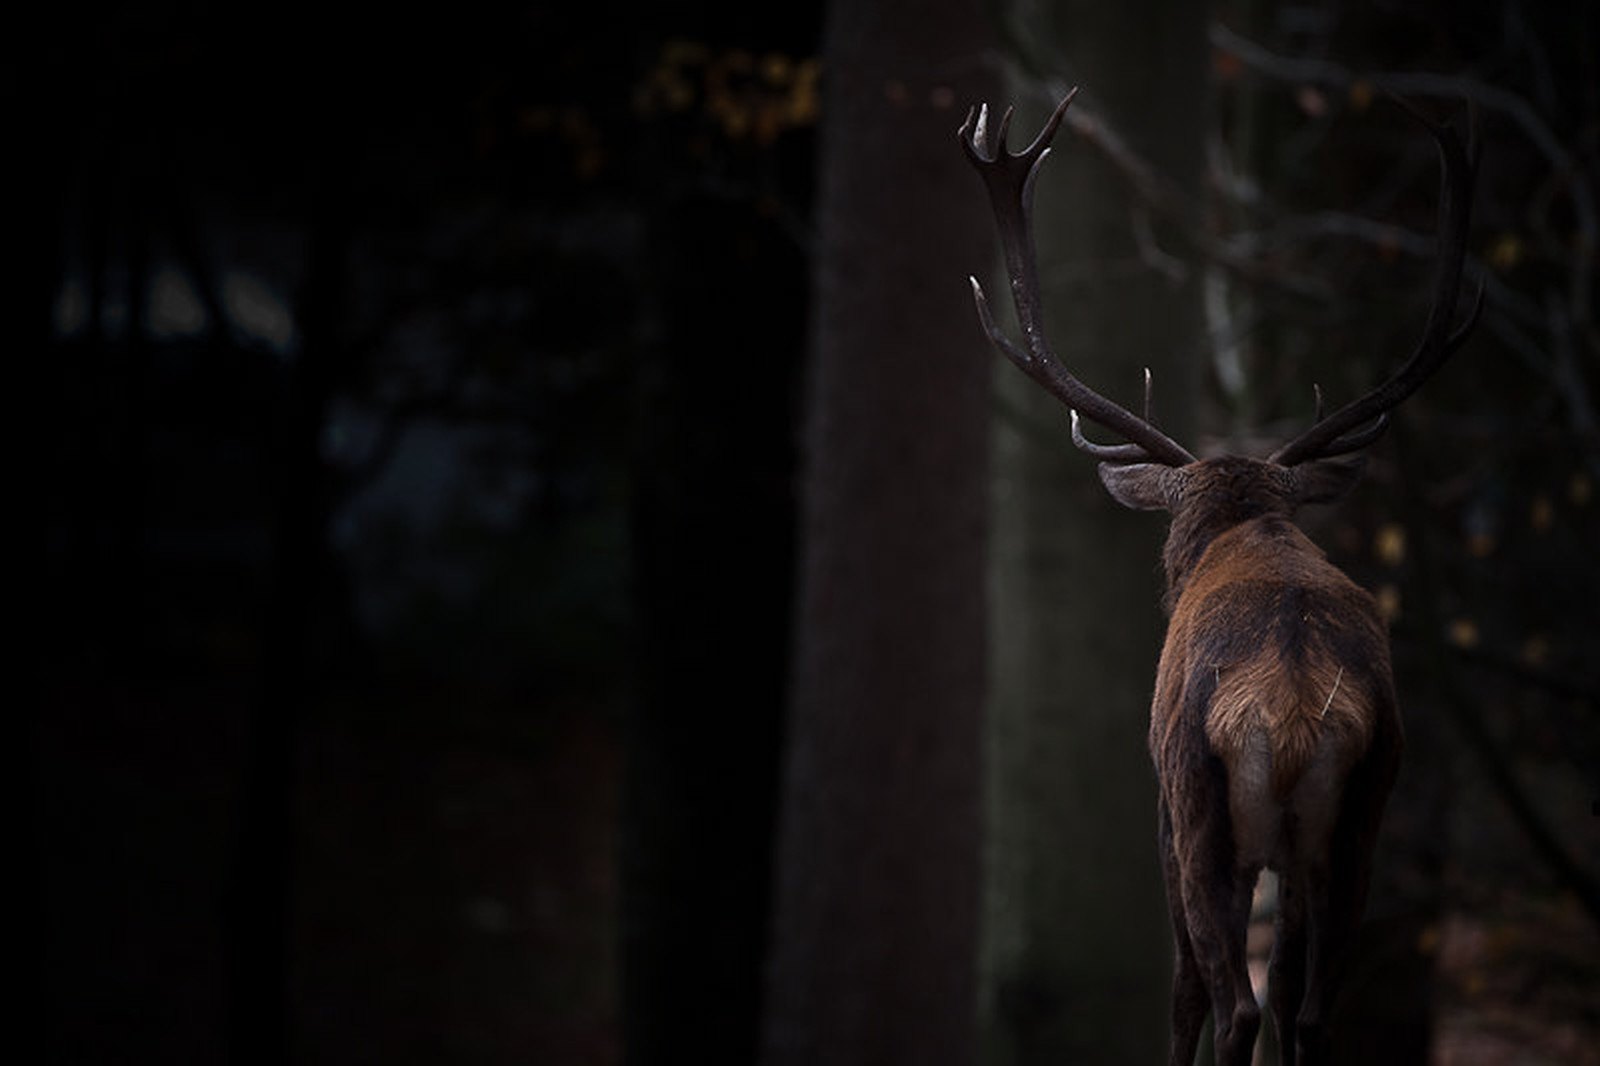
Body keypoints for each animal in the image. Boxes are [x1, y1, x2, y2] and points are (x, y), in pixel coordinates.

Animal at [953, 89, 1478, 1062]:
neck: (1246, 524)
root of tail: (1297, 706)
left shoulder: (1161, 803)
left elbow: (1184, 992)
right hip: (1357, 819)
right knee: (1306, 1005)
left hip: (1205, 812)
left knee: (1230, 998)